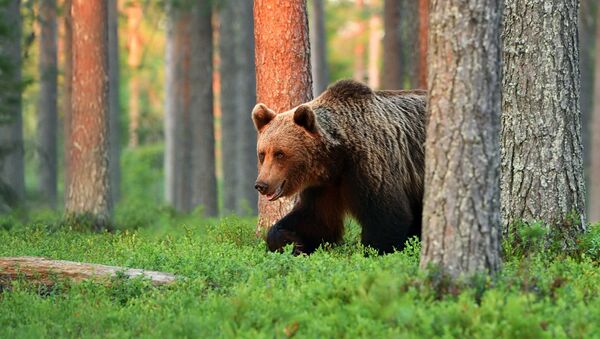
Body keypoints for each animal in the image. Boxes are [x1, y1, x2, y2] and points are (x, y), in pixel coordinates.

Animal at [252, 79, 426, 255]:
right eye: (262, 154)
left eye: (280, 153)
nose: (261, 185)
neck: (336, 158)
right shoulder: (324, 185)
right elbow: (315, 220)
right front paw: (287, 241)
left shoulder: (369, 166)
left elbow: (386, 217)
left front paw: (375, 251)